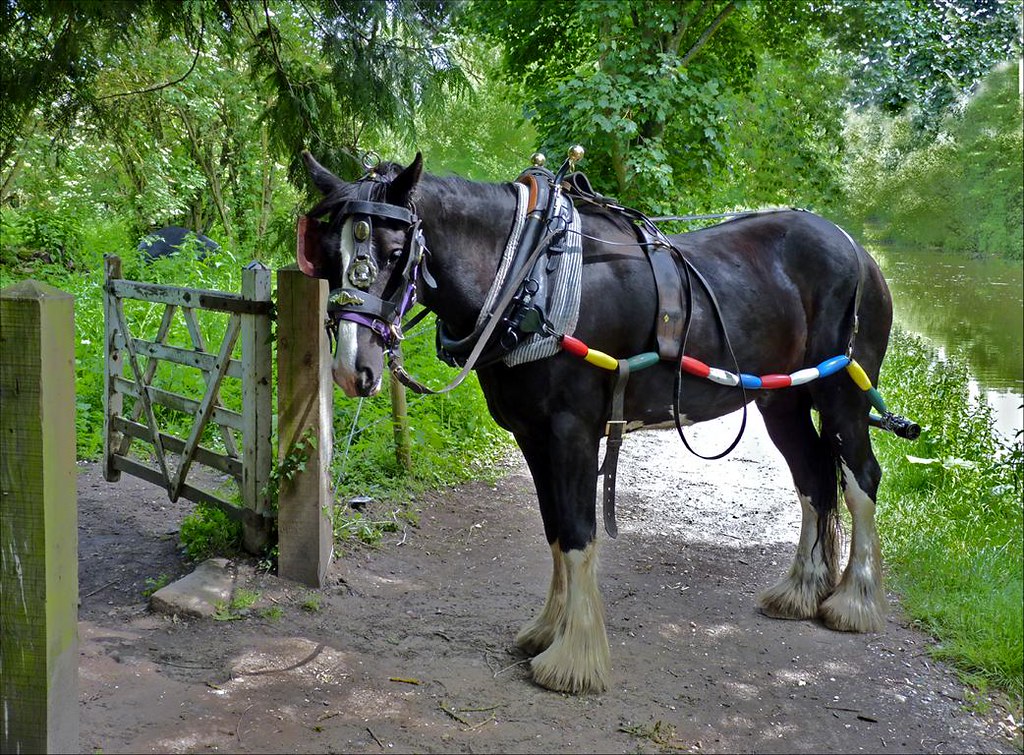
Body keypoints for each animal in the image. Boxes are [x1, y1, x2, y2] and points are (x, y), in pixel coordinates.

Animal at [297, 149, 903, 695]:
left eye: (396, 251)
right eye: (324, 255)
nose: (351, 369)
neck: (528, 275)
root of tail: (856, 249)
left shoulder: (573, 431)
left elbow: (579, 532)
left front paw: (575, 658)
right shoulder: (533, 434)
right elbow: (555, 529)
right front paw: (548, 629)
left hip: (843, 394)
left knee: (861, 480)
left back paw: (854, 600)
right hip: (783, 402)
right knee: (815, 479)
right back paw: (801, 591)